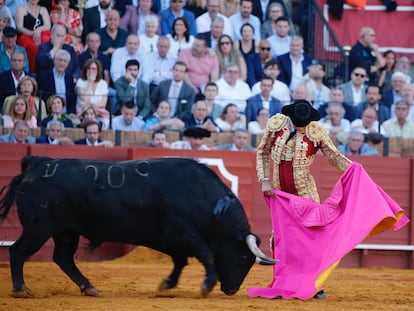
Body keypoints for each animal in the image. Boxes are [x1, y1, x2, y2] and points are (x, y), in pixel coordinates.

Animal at [0, 157, 274, 298]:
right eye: (242, 258)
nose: (231, 290)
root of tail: (37, 165)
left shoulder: (173, 238)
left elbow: (180, 261)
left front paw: (167, 285)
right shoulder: (183, 231)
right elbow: (205, 254)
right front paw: (206, 286)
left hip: (66, 233)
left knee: (63, 258)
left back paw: (89, 287)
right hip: (38, 228)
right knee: (18, 251)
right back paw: (20, 289)